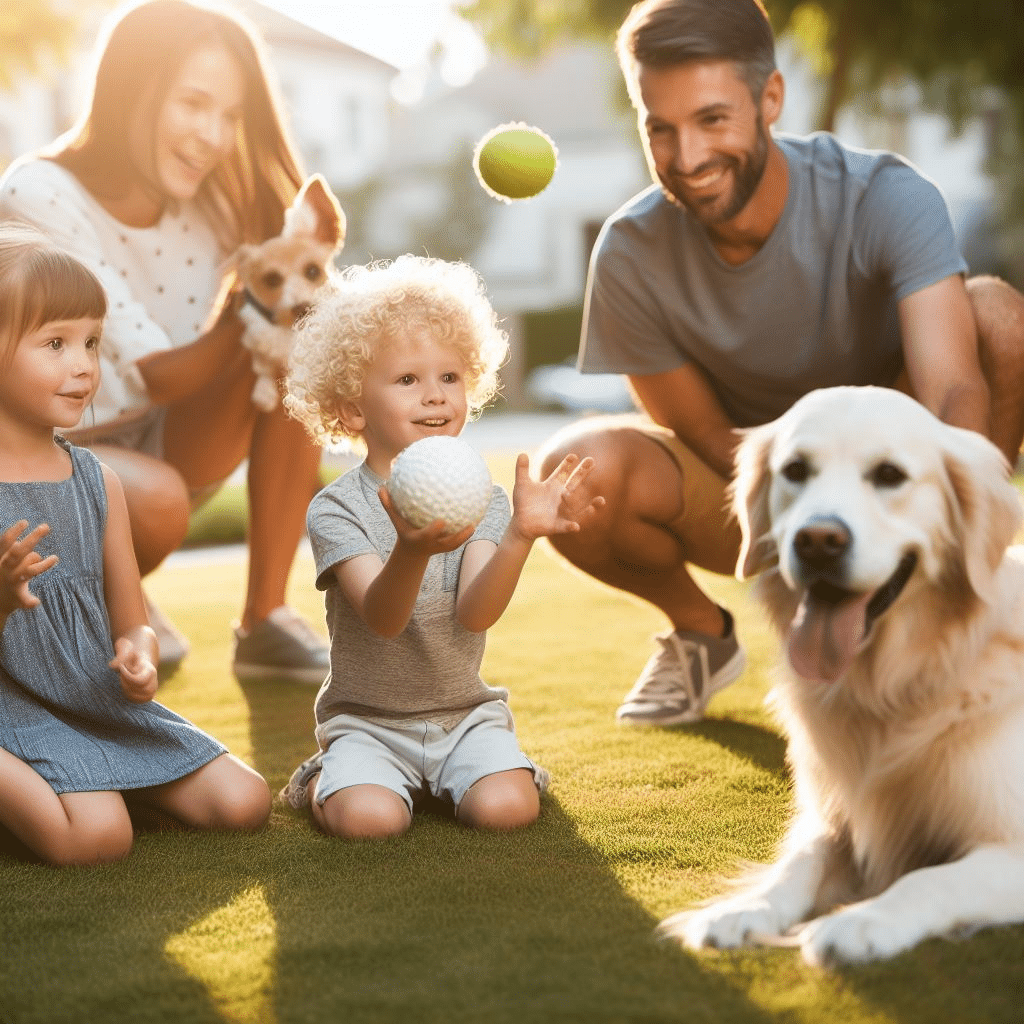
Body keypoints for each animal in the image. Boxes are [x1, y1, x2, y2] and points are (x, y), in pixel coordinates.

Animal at [234, 174, 346, 409]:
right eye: (272, 279)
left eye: (312, 270)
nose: (302, 307)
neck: (293, 333)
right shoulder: (254, 339)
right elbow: (262, 366)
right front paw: (264, 393)